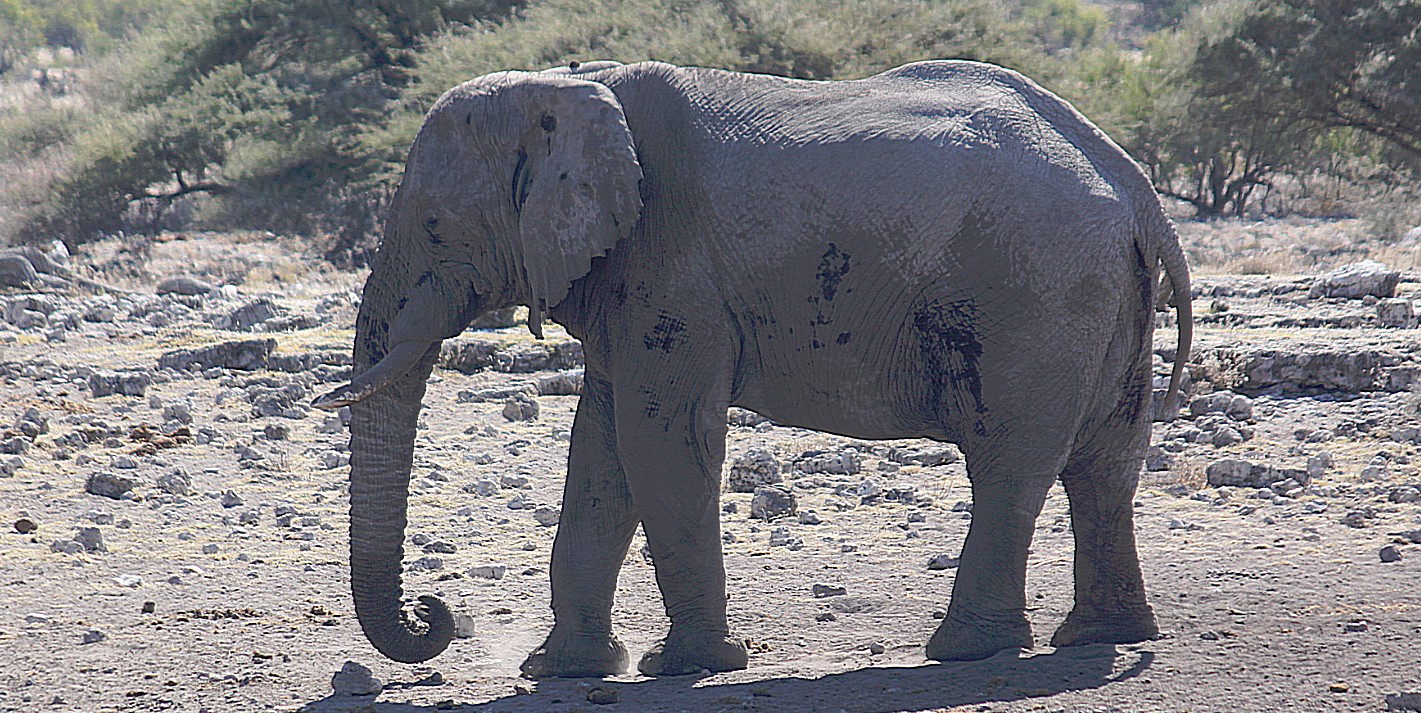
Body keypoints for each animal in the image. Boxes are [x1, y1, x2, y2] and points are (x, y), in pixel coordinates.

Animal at [316, 58, 1193, 676]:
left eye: (435, 226)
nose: (434, 613)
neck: (571, 85)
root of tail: (1134, 187)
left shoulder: (672, 268)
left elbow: (659, 440)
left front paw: (686, 667)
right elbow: (600, 451)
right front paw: (560, 672)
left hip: (1035, 295)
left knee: (1011, 461)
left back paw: (966, 650)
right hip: (1105, 297)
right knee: (1105, 463)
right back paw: (1096, 636)